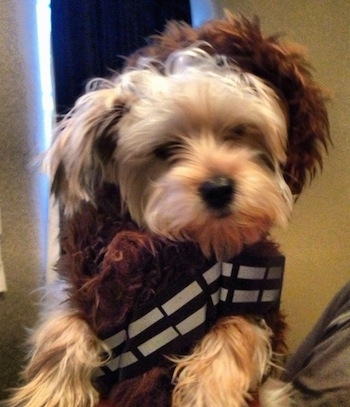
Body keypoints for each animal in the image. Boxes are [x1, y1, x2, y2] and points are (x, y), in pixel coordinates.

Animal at [5, 12, 330, 407]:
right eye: (165, 150)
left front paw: (210, 393)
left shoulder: (253, 297)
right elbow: (62, 330)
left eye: (239, 132)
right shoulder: (81, 285)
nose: (219, 187)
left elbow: (232, 335)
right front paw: (53, 393)